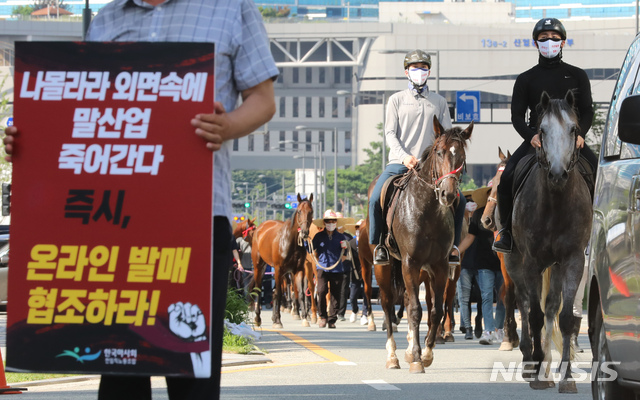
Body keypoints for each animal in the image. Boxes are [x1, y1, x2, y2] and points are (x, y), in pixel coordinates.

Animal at [250, 194, 316, 328]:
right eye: (299, 211)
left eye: (311, 211)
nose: (304, 232)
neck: (290, 241)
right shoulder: (278, 269)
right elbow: (279, 294)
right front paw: (278, 321)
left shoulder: (298, 270)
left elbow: (301, 293)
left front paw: (305, 318)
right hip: (259, 265)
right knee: (259, 289)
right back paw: (258, 318)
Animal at [372, 115, 472, 372]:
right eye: (439, 151)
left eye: (462, 155)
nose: (448, 194)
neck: (427, 210)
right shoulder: (410, 262)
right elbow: (416, 310)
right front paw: (417, 357)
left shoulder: (440, 266)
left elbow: (435, 309)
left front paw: (426, 353)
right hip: (385, 267)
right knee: (387, 304)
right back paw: (393, 356)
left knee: (410, 301)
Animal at [504, 90, 592, 390]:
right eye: (541, 130)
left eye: (574, 129)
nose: (556, 173)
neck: (556, 203)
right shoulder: (531, 262)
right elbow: (534, 315)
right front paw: (536, 370)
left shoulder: (573, 260)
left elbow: (564, 318)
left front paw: (566, 377)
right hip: (515, 262)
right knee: (524, 303)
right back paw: (531, 361)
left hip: (555, 267)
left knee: (551, 307)